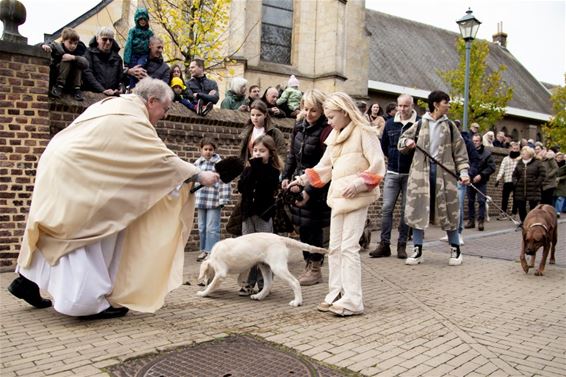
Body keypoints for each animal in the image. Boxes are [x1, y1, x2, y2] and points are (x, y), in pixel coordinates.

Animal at [196, 232, 326, 306]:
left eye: (206, 274)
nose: (201, 283)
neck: (213, 256)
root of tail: (280, 238)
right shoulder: (245, 267)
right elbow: (240, 280)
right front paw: (247, 287)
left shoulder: (221, 273)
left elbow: (212, 285)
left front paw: (203, 293)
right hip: (265, 266)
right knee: (268, 284)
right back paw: (259, 296)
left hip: (277, 266)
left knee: (294, 282)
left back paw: (297, 301)